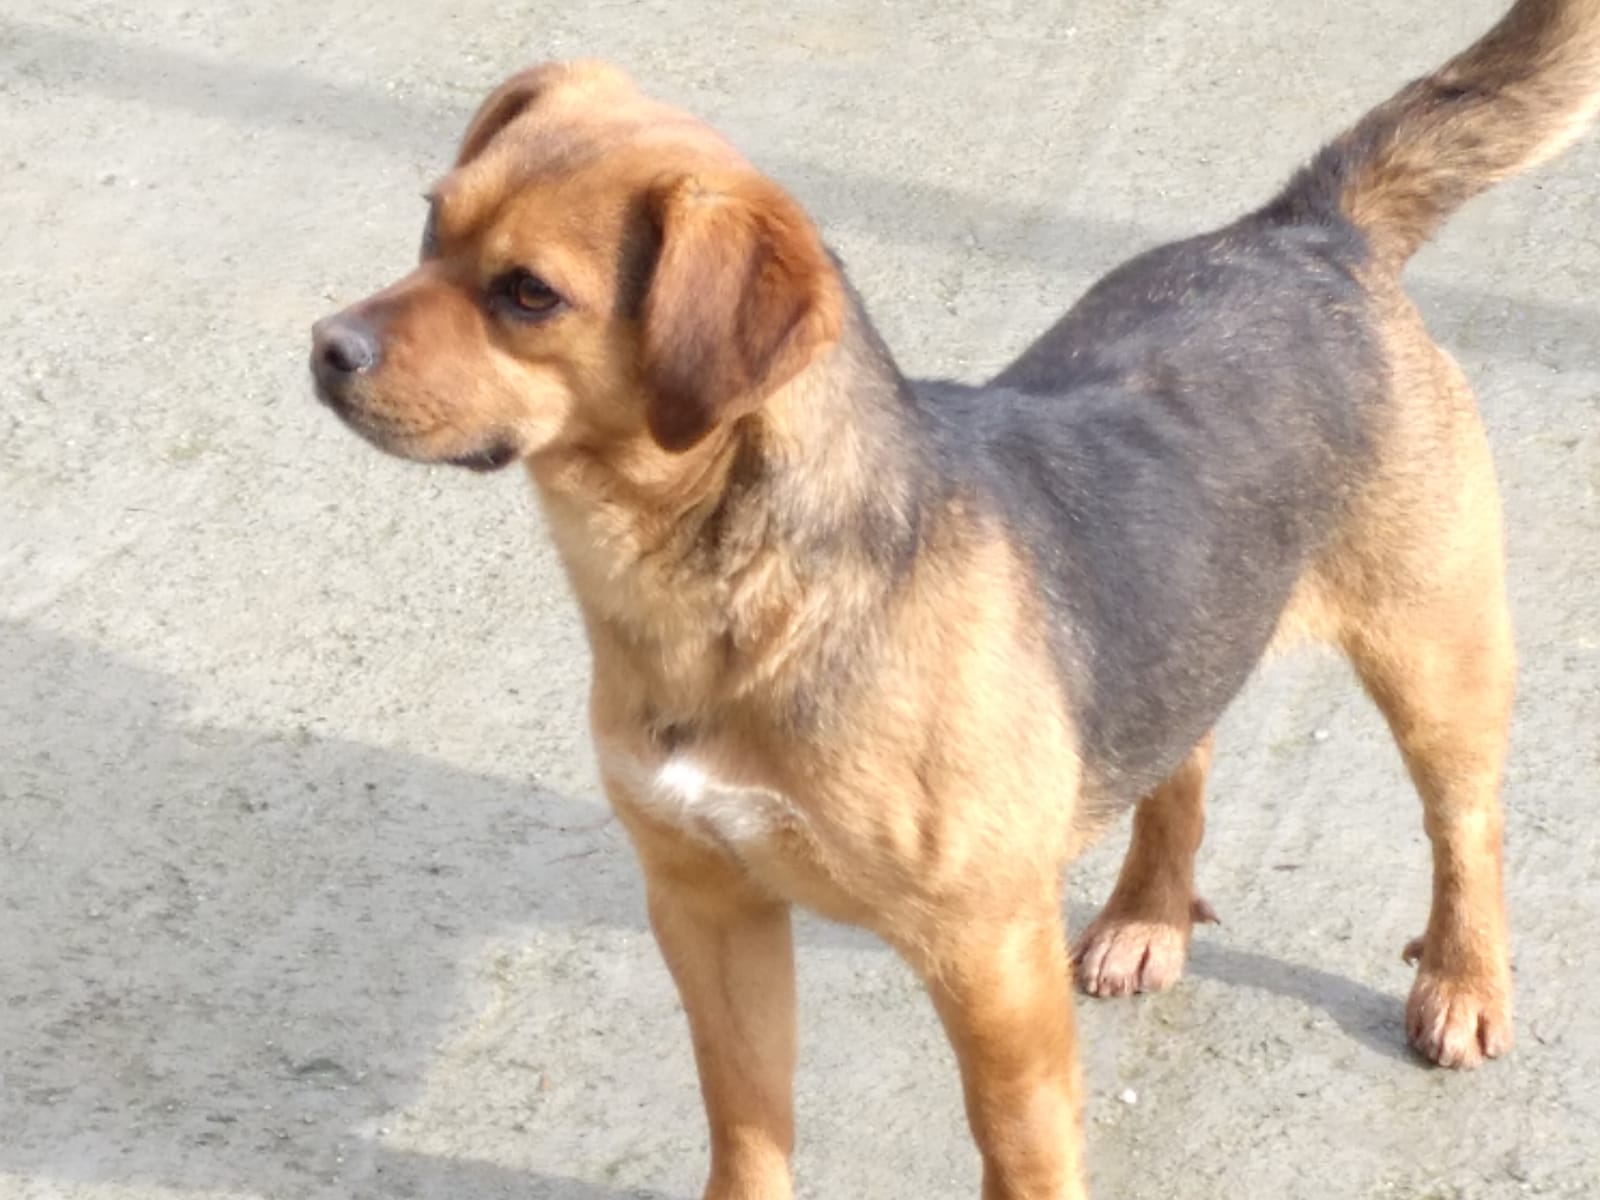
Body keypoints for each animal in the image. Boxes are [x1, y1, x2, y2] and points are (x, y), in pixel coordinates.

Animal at [309, 1, 1600, 1195]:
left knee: (1463, 825)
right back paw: (1149, 912)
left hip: (1433, 658)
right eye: (430, 222)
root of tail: (1304, 231)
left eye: (529, 295)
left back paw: (1463, 981)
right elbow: (747, 1122)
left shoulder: (986, 964)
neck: (736, 596)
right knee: (1181, 760)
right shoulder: (707, 909)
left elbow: (1016, 1150)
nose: (324, 346)